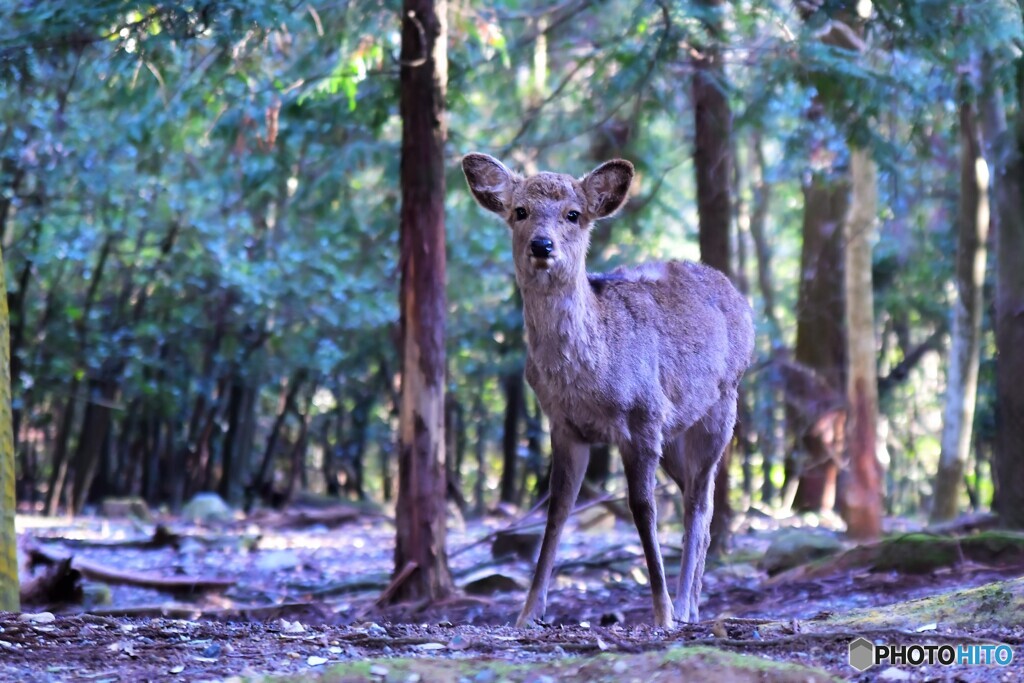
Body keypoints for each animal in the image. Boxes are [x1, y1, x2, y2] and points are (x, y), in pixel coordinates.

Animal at [462, 152, 753, 626]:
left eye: (573, 214)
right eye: (519, 211)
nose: (542, 246)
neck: (590, 376)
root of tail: (741, 300)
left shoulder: (645, 416)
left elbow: (642, 509)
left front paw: (661, 612)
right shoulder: (564, 426)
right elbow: (557, 512)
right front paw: (528, 613)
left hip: (721, 408)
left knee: (699, 502)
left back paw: (684, 607)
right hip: (677, 436)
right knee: (697, 495)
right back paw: (692, 603)